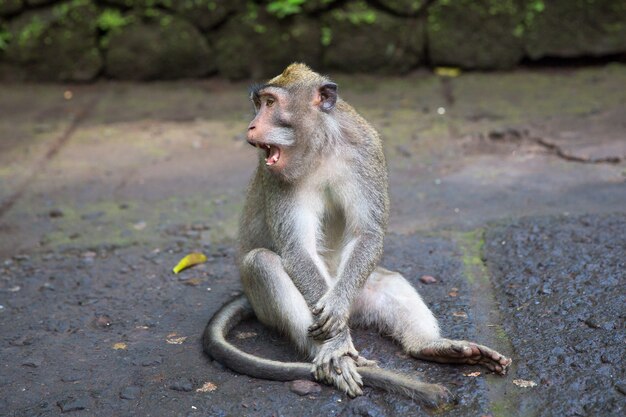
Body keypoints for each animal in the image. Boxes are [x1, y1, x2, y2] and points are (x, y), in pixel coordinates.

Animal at [202, 63, 510, 404]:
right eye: (259, 104)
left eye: (270, 103)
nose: (252, 125)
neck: (320, 148)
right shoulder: (275, 175)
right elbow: (297, 249)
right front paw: (335, 346)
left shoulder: (366, 150)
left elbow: (368, 233)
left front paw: (337, 308)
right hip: (268, 303)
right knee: (262, 263)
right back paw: (334, 357)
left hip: (358, 292)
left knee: (387, 280)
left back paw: (430, 346)